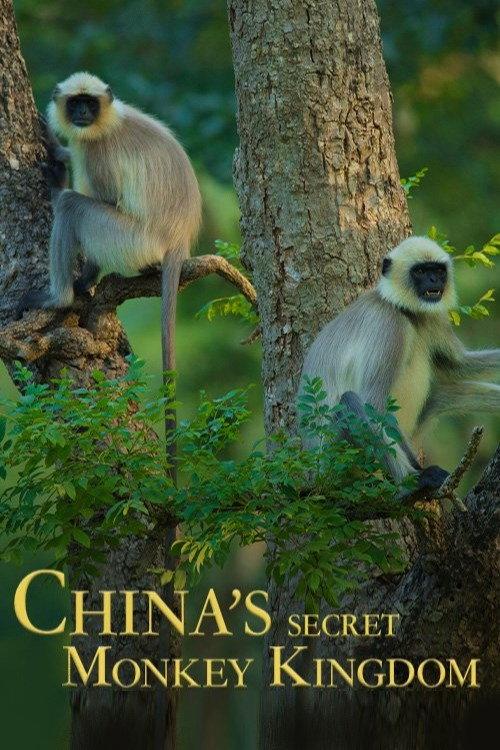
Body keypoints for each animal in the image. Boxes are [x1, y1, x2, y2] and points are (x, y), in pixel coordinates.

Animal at [18, 72, 202, 383]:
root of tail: (178, 241)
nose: (82, 113)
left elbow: (107, 199)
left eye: (90, 103)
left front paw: (58, 179)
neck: (108, 121)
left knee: (71, 205)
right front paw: (58, 147)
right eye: (75, 102)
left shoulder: (98, 152)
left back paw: (58, 299)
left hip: (130, 239)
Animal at [300, 236, 500, 493]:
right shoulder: (388, 326)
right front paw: (419, 475)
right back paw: (410, 484)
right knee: (350, 401)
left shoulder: (432, 318)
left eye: (438, 271)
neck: (405, 313)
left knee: (441, 395)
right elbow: (374, 405)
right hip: (338, 456)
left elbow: (458, 366)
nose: (434, 280)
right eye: (421, 271)